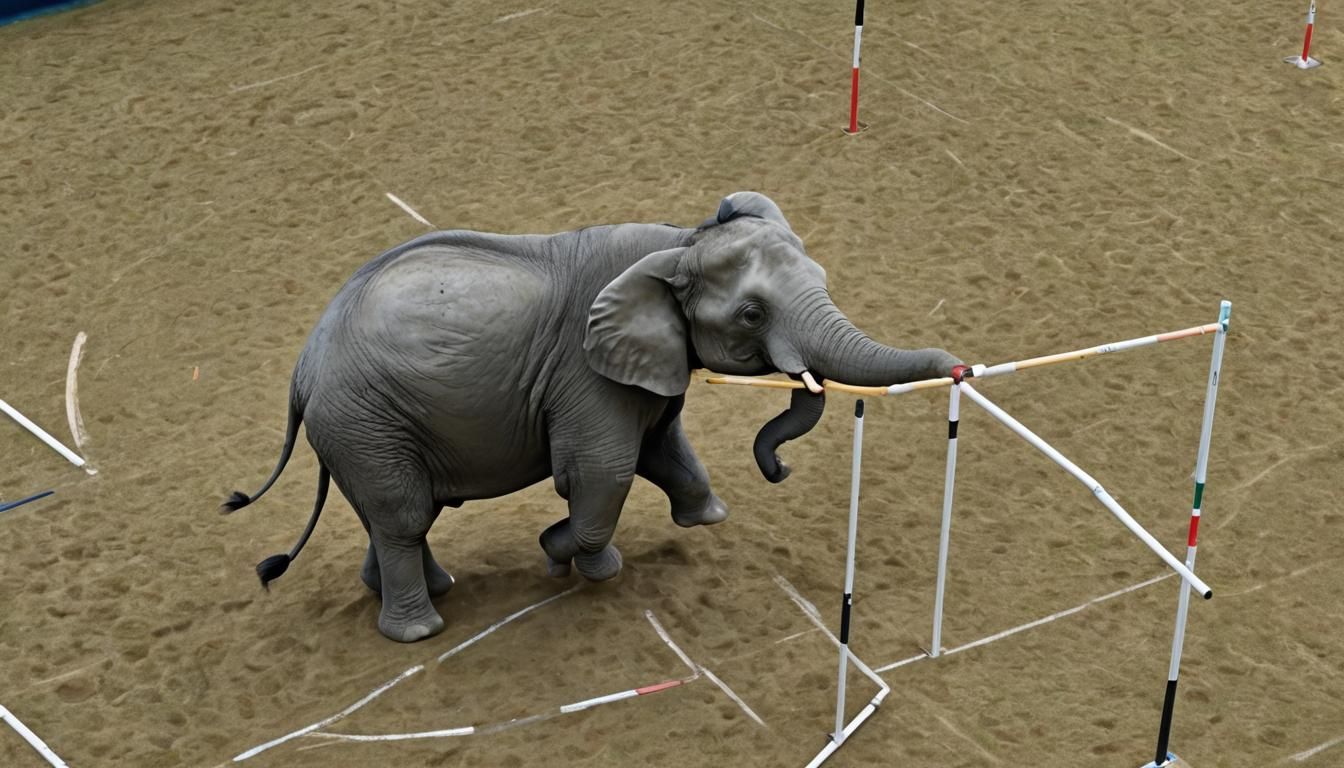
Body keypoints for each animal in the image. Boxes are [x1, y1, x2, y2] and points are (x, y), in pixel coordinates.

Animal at [221, 192, 961, 642]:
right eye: (752, 314)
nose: (959, 370)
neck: (678, 240)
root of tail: (303, 369)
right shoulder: (583, 372)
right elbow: (600, 474)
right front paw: (568, 560)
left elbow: (662, 446)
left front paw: (703, 521)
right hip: (366, 420)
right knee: (402, 516)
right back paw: (423, 630)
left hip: (363, 429)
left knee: (394, 517)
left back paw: (433, 591)